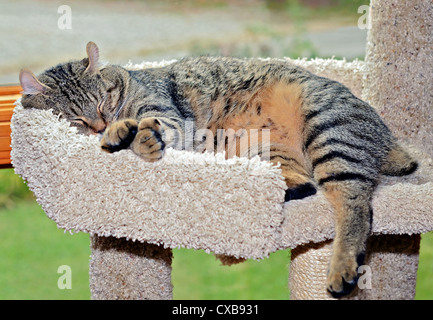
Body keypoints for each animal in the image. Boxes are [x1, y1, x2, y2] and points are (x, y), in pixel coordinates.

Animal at [18, 40, 416, 298]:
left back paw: (341, 270)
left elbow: (151, 123)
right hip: (266, 149)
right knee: (307, 186)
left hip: (328, 129)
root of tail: (387, 136)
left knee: (355, 206)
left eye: (104, 101)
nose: (100, 124)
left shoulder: (168, 117)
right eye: (76, 119)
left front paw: (126, 133)